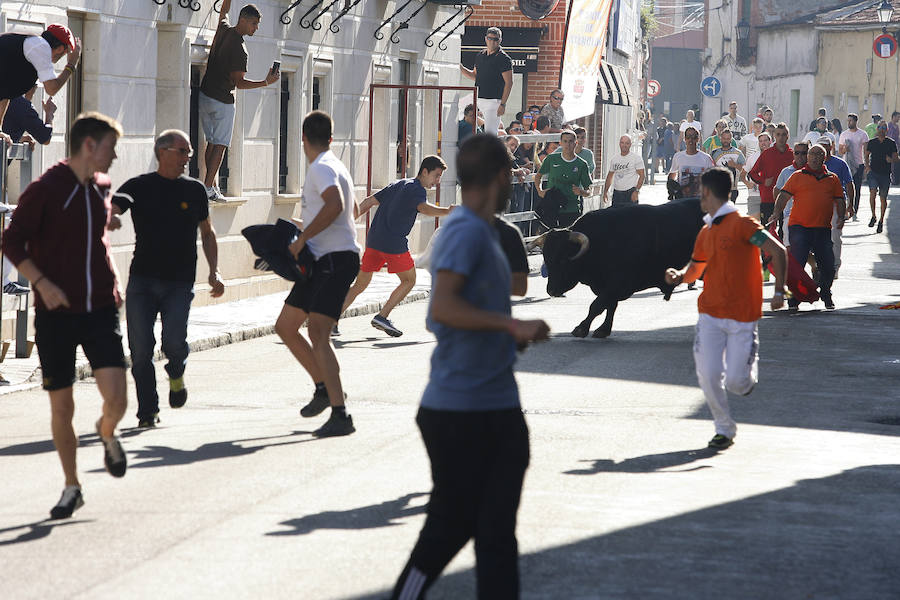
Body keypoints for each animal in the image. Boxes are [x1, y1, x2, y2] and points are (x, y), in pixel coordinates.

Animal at [532, 200, 708, 338]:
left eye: (562, 260)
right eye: (546, 258)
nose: (551, 290)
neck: (601, 241)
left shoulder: (618, 283)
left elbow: (597, 305)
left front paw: (581, 328)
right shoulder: (609, 287)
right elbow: (610, 306)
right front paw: (603, 329)